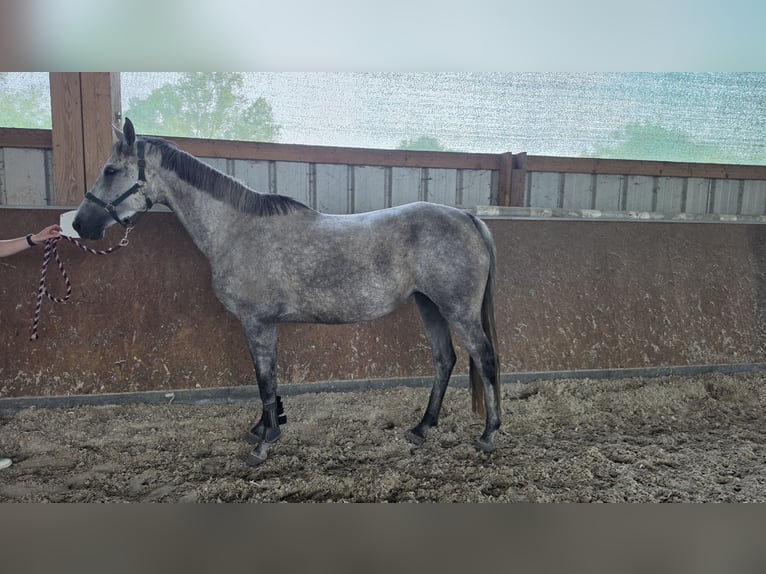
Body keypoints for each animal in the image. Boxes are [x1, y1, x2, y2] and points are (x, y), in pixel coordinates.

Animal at [72, 118, 501, 466]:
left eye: (111, 169)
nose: (80, 225)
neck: (236, 229)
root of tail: (467, 217)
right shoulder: (264, 324)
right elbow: (271, 379)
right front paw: (268, 429)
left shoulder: (256, 322)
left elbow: (264, 381)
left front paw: (263, 444)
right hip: (430, 305)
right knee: (444, 360)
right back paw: (421, 428)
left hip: (458, 310)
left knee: (485, 358)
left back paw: (489, 433)